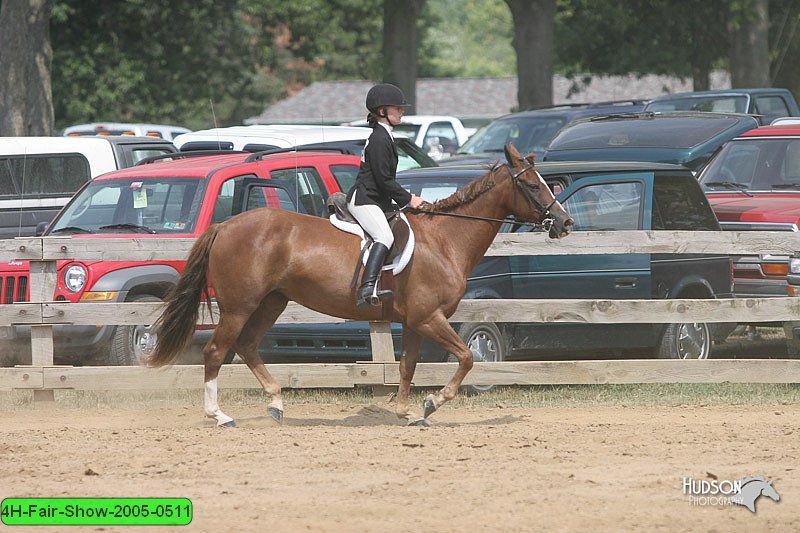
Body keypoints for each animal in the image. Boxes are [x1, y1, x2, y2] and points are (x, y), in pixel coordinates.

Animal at [148, 143, 576, 426]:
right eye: (533, 186)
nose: (565, 222)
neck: (445, 240)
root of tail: (225, 225)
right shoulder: (430, 317)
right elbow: (468, 358)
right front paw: (432, 403)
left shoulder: (415, 321)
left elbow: (408, 365)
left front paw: (405, 411)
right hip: (239, 305)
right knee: (217, 351)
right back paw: (218, 415)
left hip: (272, 302)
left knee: (248, 346)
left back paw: (276, 404)